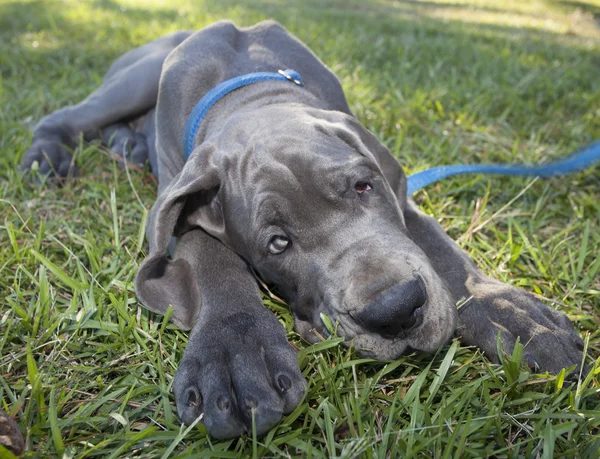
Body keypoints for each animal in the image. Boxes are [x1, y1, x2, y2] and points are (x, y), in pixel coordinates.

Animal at [21, 20, 584, 438]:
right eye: (277, 243)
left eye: (363, 187)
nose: (396, 309)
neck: (250, 92)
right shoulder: (180, 192)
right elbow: (210, 257)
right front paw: (235, 354)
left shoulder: (399, 195)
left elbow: (440, 249)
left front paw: (518, 318)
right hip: (131, 82)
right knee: (67, 116)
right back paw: (49, 155)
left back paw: (126, 145)